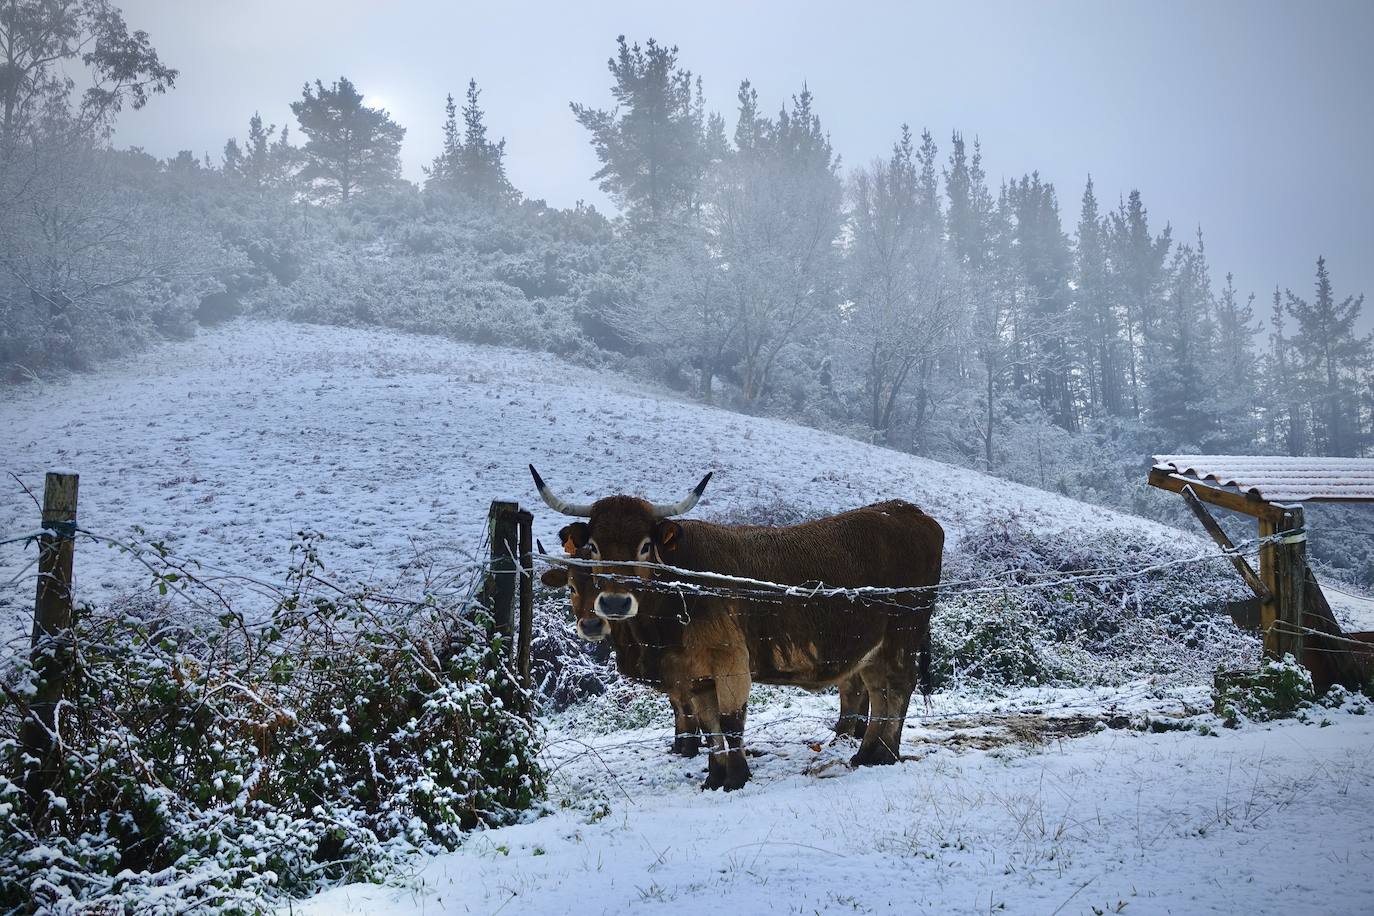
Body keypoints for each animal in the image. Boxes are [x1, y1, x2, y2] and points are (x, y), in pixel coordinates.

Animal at [527, 469, 945, 791]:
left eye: (645, 546)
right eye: (595, 547)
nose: (613, 604)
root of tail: (909, 511)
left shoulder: (730, 661)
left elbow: (730, 722)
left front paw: (737, 776)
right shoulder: (694, 675)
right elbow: (710, 725)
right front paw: (715, 777)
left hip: (904, 633)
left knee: (898, 688)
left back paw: (885, 754)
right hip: (873, 645)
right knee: (878, 691)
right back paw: (866, 753)